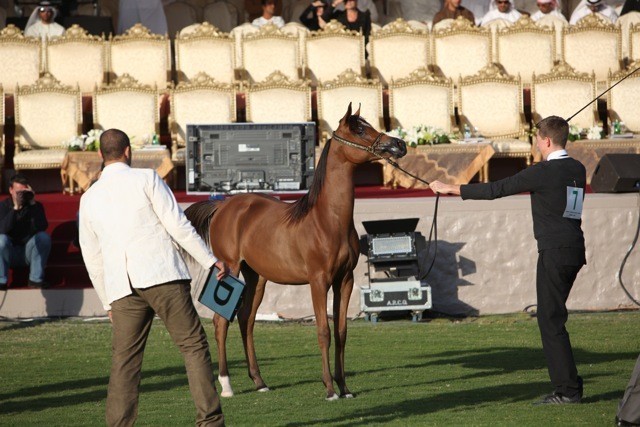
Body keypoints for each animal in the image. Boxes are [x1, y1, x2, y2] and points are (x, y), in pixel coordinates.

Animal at [185, 103, 407, 400]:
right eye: (359, 129)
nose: (398, 144)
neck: (326, 220)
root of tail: (223, 206)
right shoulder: (318, 281)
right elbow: (323, 331)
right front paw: (329, 389)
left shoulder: (345, 280)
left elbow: (341, 332)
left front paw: (344, 387)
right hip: (229, 269)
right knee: (222, 323)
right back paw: (227, 385)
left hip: (256, 278)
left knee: (246, 320)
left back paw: (259, 381)